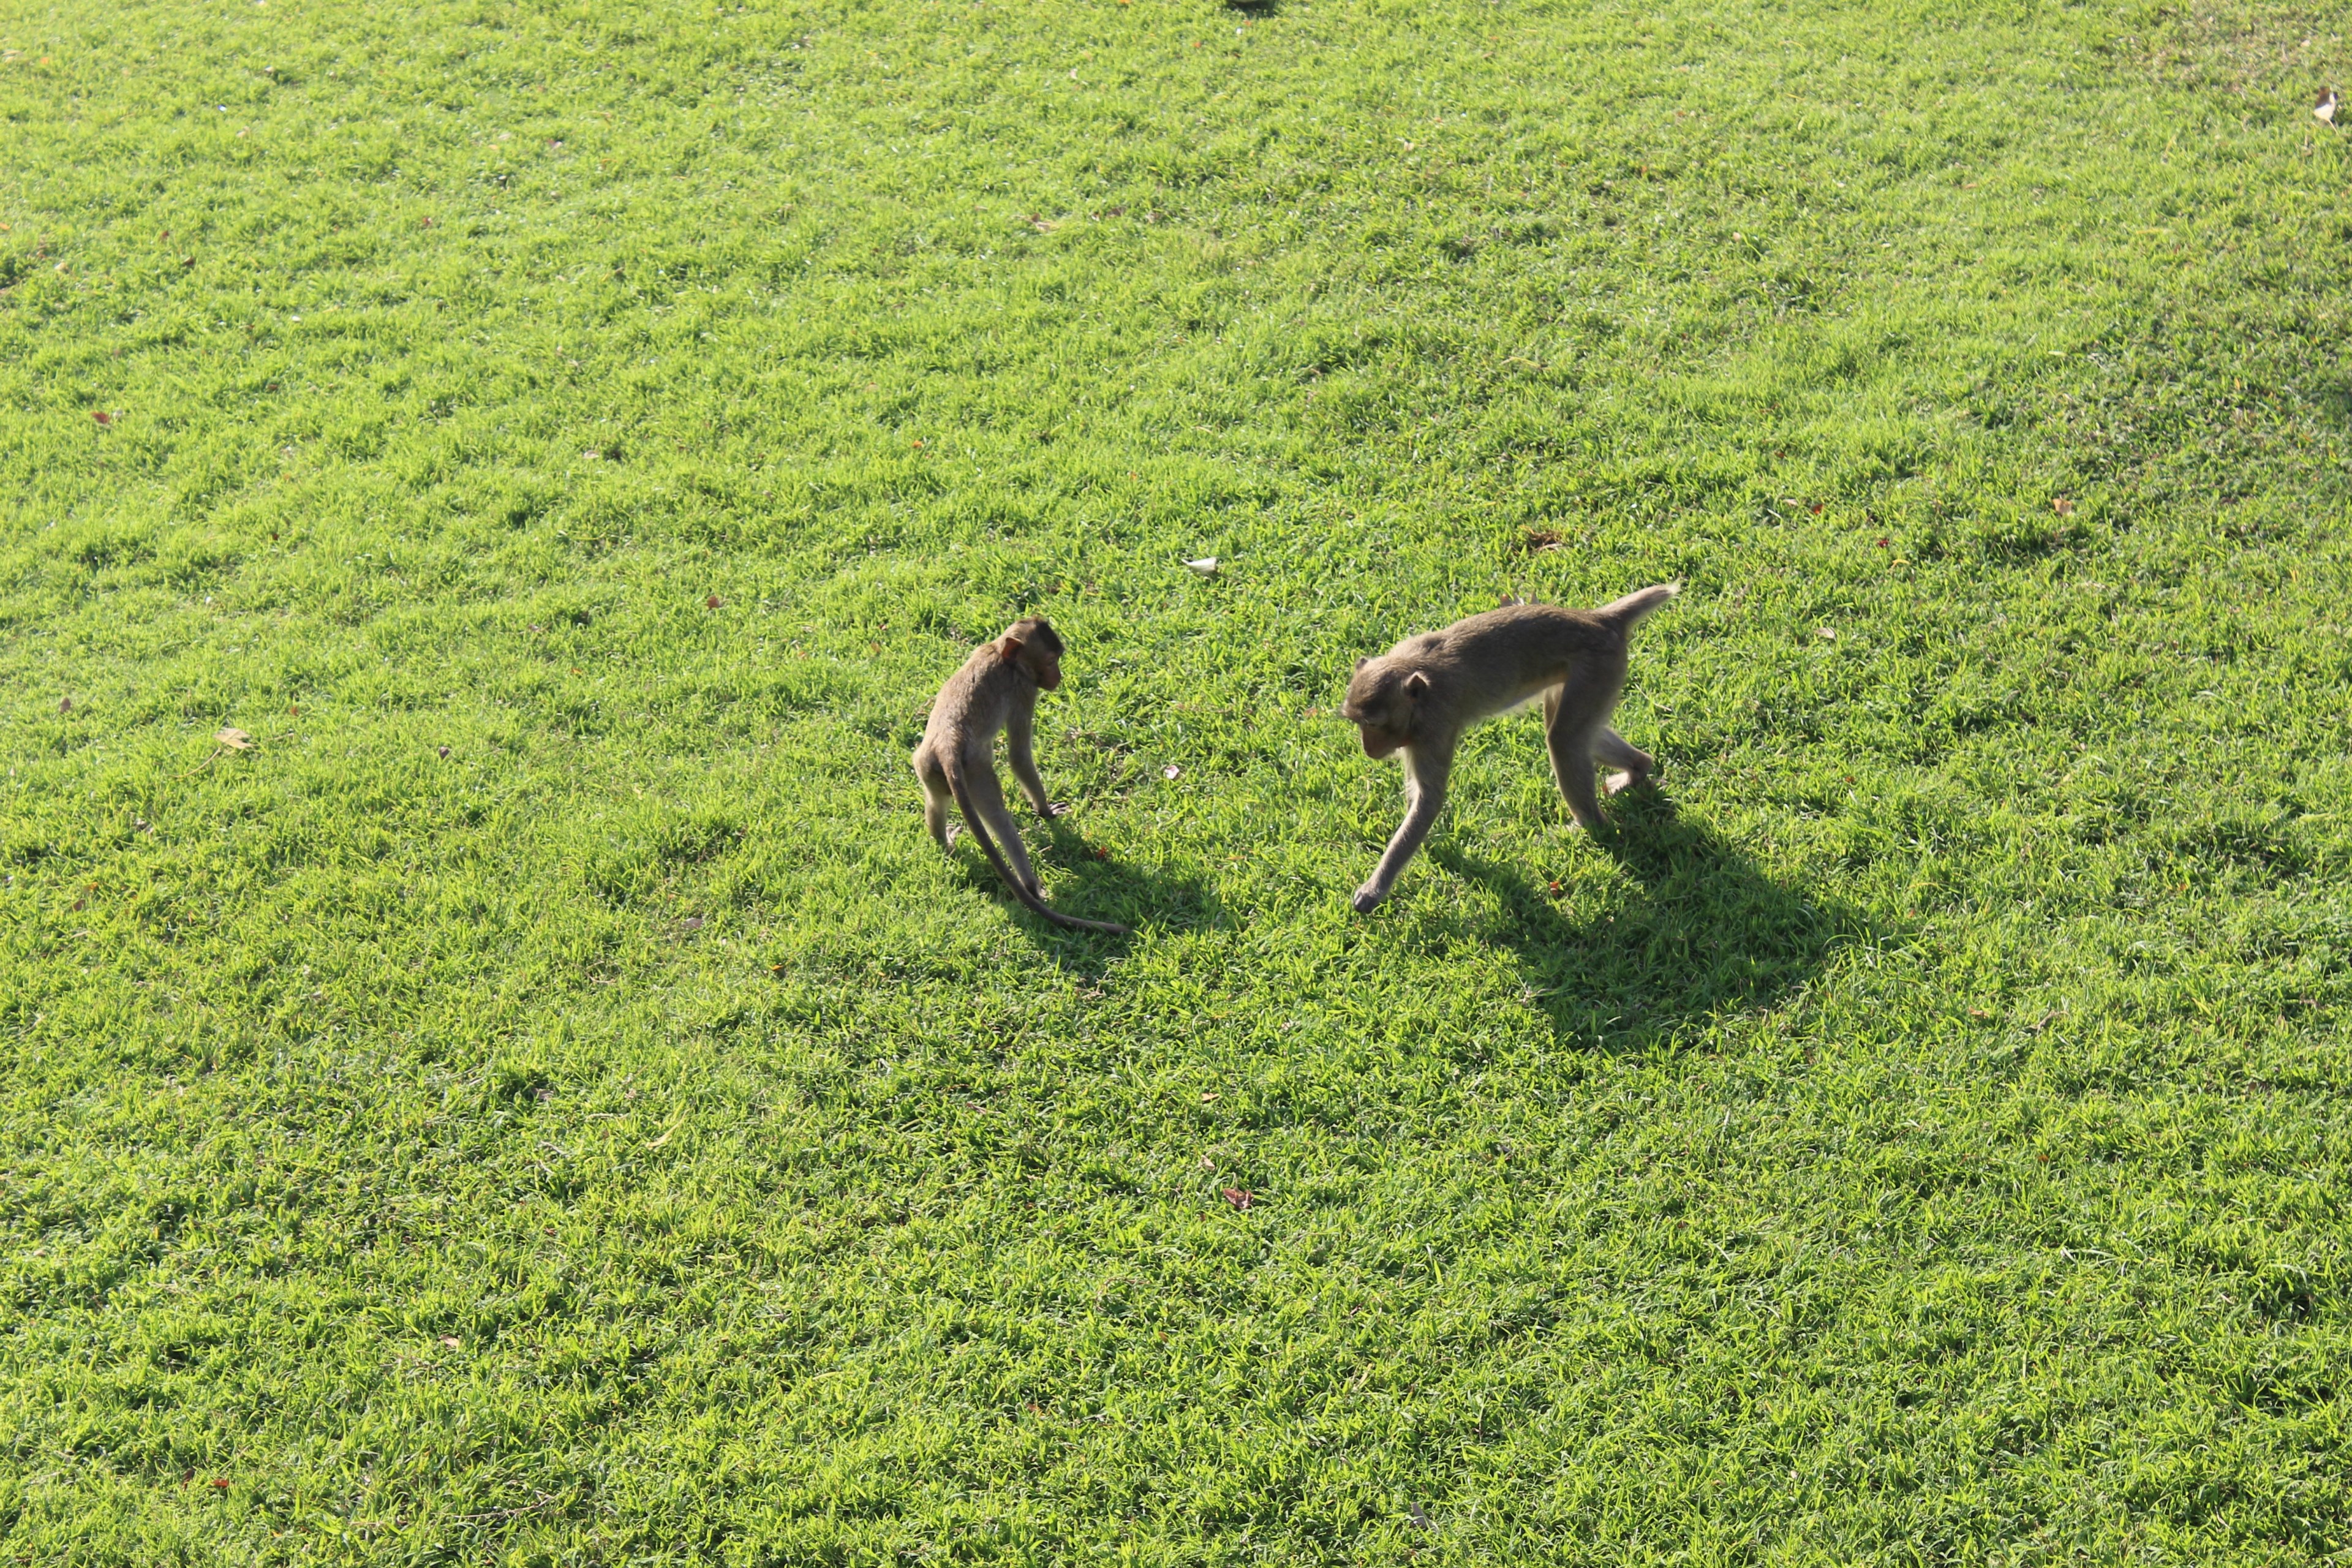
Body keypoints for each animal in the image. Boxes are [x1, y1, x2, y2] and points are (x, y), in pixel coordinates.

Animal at [912, 617, 1130, 935]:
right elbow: (1018, 756)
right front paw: (1046, 811)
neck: (1001, 655)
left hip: (927, 768)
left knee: (936, 802)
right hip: (977, 776)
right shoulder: (1024, 691)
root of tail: (947, 746)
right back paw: (1031, 887)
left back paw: (943, 840)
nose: (1058, 677)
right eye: (1051, 661)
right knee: (1000, 819)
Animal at [1339, 584, 1681, 913]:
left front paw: (1375, 888)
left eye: (1372, 724)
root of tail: (1600, 619)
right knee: (1577, 734)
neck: (1419, 687)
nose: (1368, 748)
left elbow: (1429, 799)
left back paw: (1589, 825)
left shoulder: (1434, 726)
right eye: (1358, 723)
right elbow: (1419, 796)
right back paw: (1638, 768)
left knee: (1564, 739)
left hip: (1598, 668)